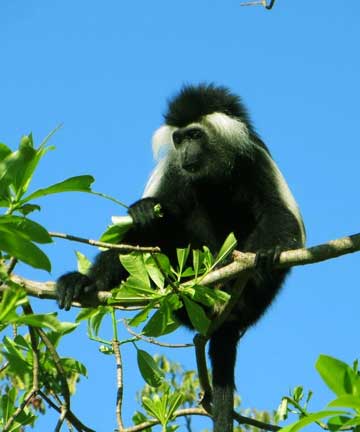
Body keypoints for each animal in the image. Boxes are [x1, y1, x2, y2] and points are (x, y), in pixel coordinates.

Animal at [56, 83, 304, 432]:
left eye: (195, 135)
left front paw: (266, 251)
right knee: (155, 227)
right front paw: (143, 213)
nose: (186, 152)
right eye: (179, 138)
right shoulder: (174, 171)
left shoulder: (256, 160)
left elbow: (279, 214)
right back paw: (86, 282)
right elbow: (145, 223)